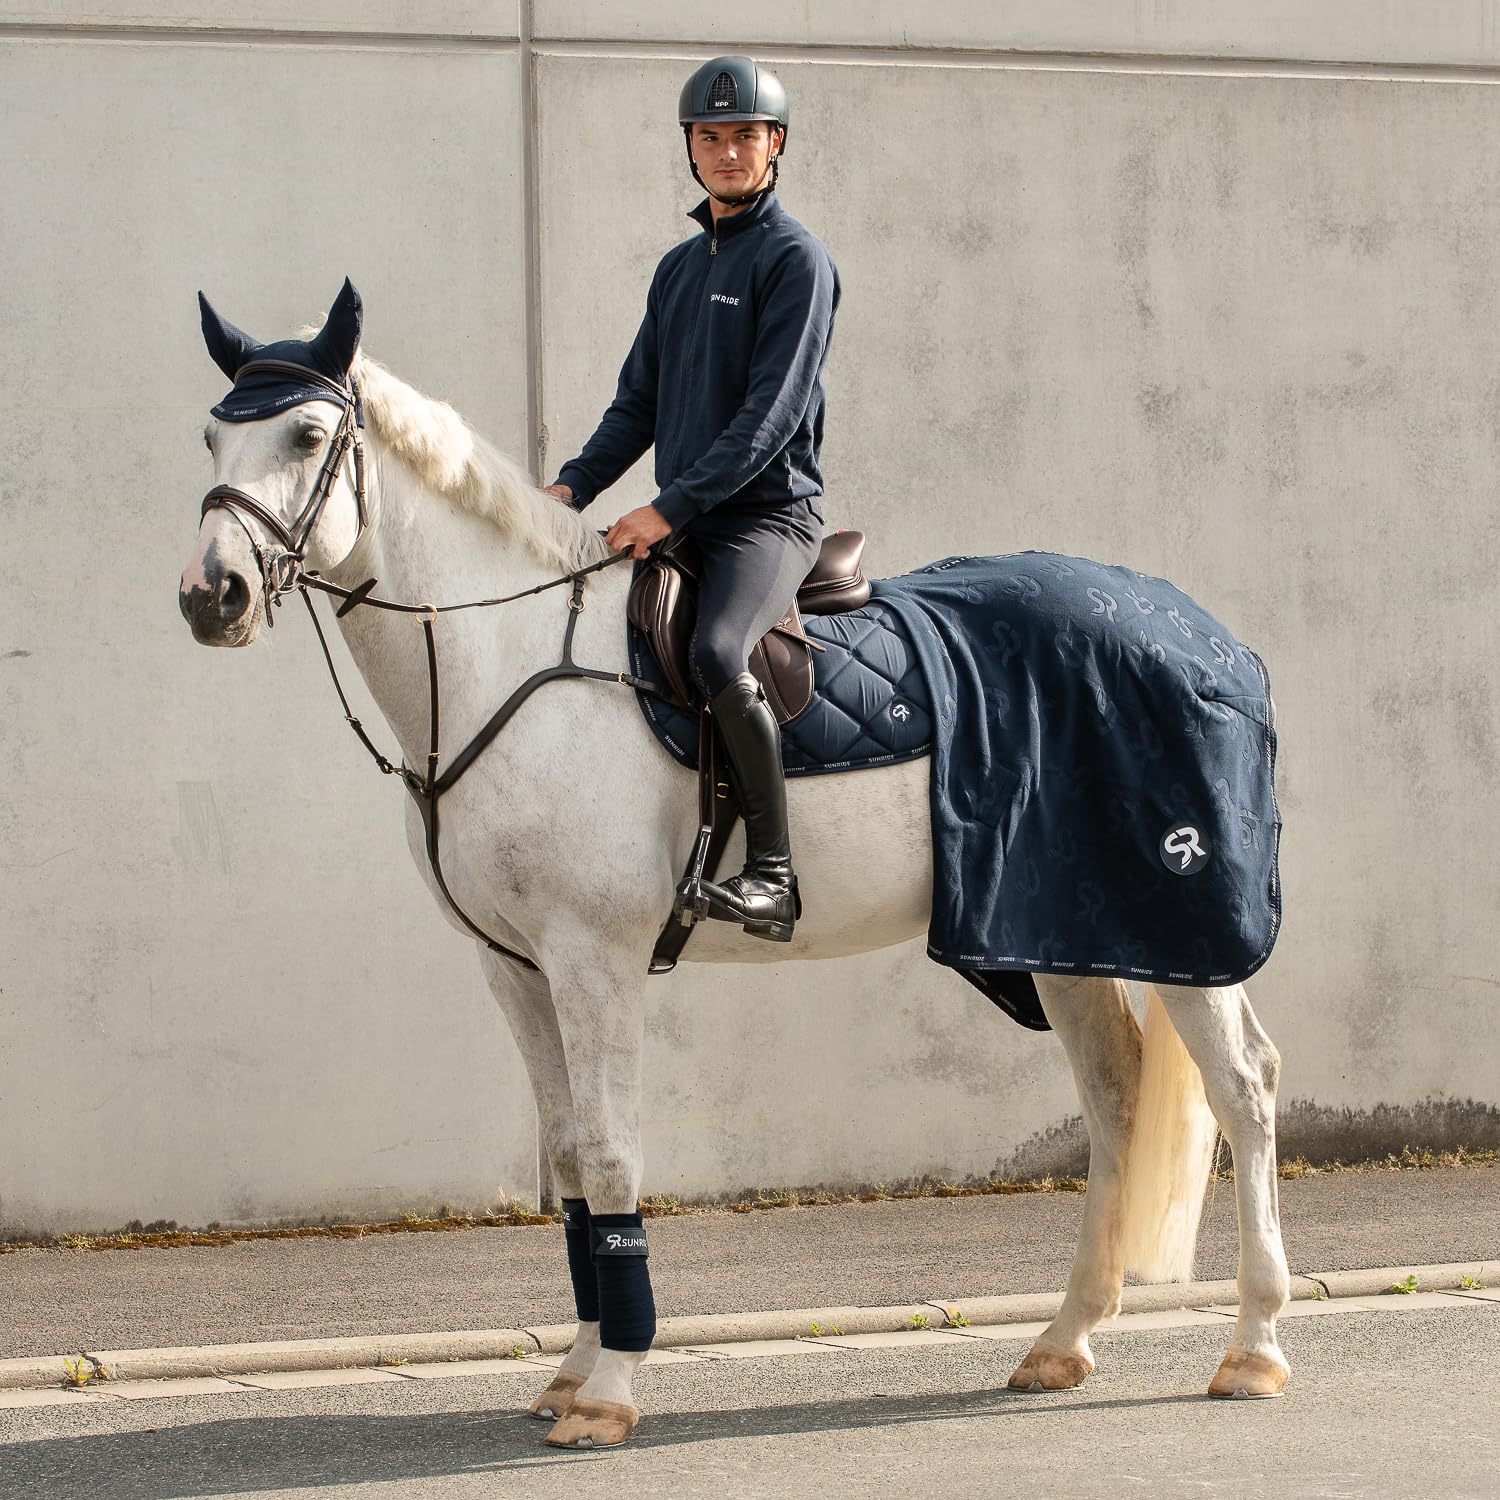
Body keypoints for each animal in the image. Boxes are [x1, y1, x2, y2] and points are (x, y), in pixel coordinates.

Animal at [179, 281, 1292, 1449]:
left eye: (308, 435)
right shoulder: (516, 966)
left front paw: (612, 1390)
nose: (213, 596)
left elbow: (611, 1152)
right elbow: (568, 1156)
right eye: (213, 434)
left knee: (1245, 1089)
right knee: (1116, 1095)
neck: (511, 661)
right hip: (1057, 930)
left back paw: (1254, 1346)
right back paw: (1064, 1340)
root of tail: (1214, 643)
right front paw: (574, 1371)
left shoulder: (594, 958)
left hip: (1184, 933)